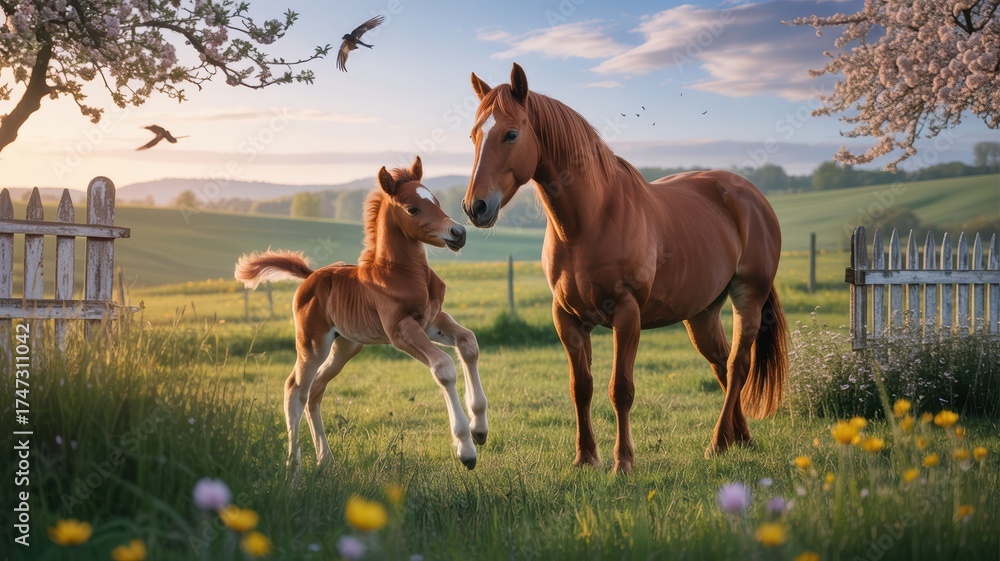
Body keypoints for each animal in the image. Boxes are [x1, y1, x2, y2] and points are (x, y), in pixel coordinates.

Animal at [235, 156, 489, 472]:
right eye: (412, 208)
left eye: (437, 201)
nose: (458, 233)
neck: (403, 273)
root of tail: (310, 275)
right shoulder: (400, 330)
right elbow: (443, 367)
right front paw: (466, 449)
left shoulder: (431, 321)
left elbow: (469, 343)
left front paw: (480, 429)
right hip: (313, 345)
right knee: (295, 389)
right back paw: (294, 466)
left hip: (346, 346)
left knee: (316, 390)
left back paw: (326, 460)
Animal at [462, 64, 787, 474]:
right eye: (474, 134)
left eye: (511, 133)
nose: (475, 207)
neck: (589, 220)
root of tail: (752, 195)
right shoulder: (566, 318)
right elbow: (581, 388)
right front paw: (585, 457)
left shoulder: (627, 314)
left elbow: (621, 389)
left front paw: (623, 462)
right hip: (701, 313)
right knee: (723, 365)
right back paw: (740, 438)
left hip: (748, 297)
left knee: (738, 363)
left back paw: (717, 443)